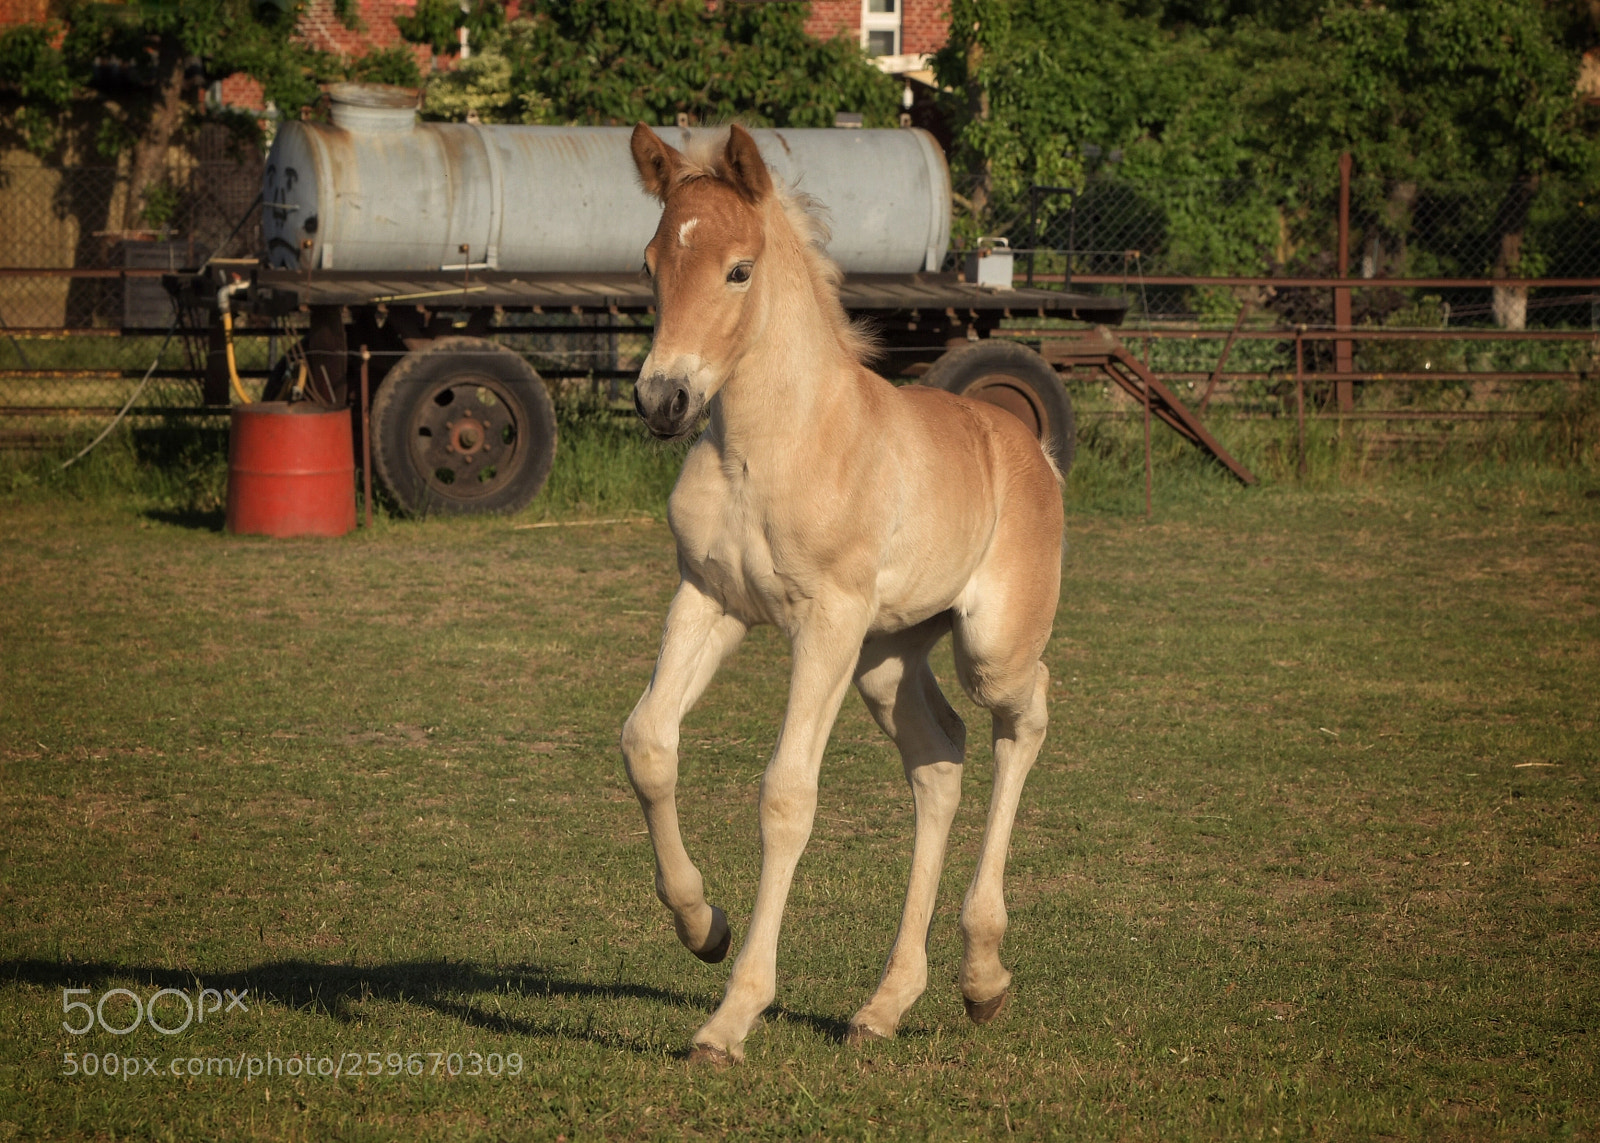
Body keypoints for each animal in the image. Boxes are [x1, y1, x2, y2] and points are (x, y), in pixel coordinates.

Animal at [621, 123, 1064, 1065]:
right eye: (649, 263)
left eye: (739, 269)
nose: (663, 397)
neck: (774, 441)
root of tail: (1030, 447)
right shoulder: (709, 598)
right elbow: (648, 741)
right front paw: (702, 925)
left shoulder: (823, 620)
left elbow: (788, 795)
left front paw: (731, 1016)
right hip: (888, 656)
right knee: (939, 756)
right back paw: (888, 1001)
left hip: (988, 647)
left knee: (1026, 717)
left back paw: (984, 974)